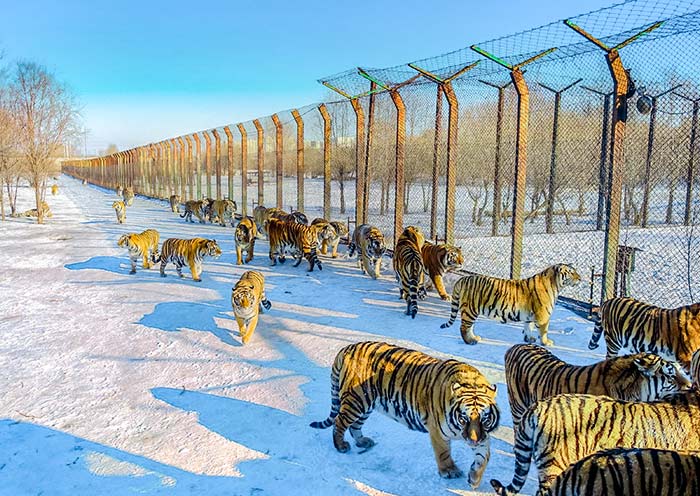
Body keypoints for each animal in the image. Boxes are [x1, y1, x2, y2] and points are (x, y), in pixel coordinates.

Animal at [310, 341, 500, 488]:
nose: (473, 441)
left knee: (354, 426)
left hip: (366, 404)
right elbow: (443, 453)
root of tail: (346, 348)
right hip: (356, 401)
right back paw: (341, 446)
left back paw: (363, 442)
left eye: (484, 419)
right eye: (463, 418)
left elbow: (484, 457)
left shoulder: (483, 435)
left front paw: (474, 478)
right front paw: (449, 471)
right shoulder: (438, 432)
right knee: (339, 422)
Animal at [440, 264, 581, 346]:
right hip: (470, 310)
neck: (556, 285)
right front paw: (546, 342)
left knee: (469, 327)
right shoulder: (543, 316)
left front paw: (529, 339)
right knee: (464, 327)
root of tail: (462, 279)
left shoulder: (530, 315)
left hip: (471, 310)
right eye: (571, 272)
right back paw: (471, 341)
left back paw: (475, 338)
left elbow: (528, 327)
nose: (580, 278)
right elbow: (543, 331)